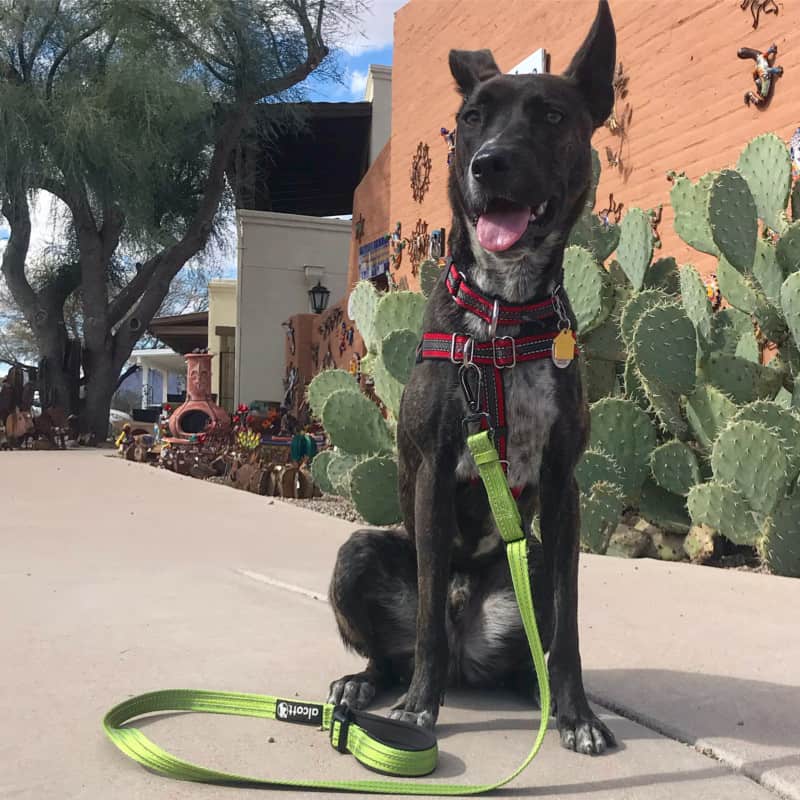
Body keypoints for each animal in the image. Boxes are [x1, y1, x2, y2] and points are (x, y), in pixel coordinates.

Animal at [328, 0, 616, 752]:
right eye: (471, 119)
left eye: (551, 115)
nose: (490, 165)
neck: (504, 311)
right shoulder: (433, 469)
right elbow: (426, 613)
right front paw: (416, 713)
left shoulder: (563, 484)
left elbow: (570, 627)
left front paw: (578, 713)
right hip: (358, 552)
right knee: (399, 650)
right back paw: (368, 686)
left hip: (532, 559)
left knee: (529, 650)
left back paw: (538, 696)